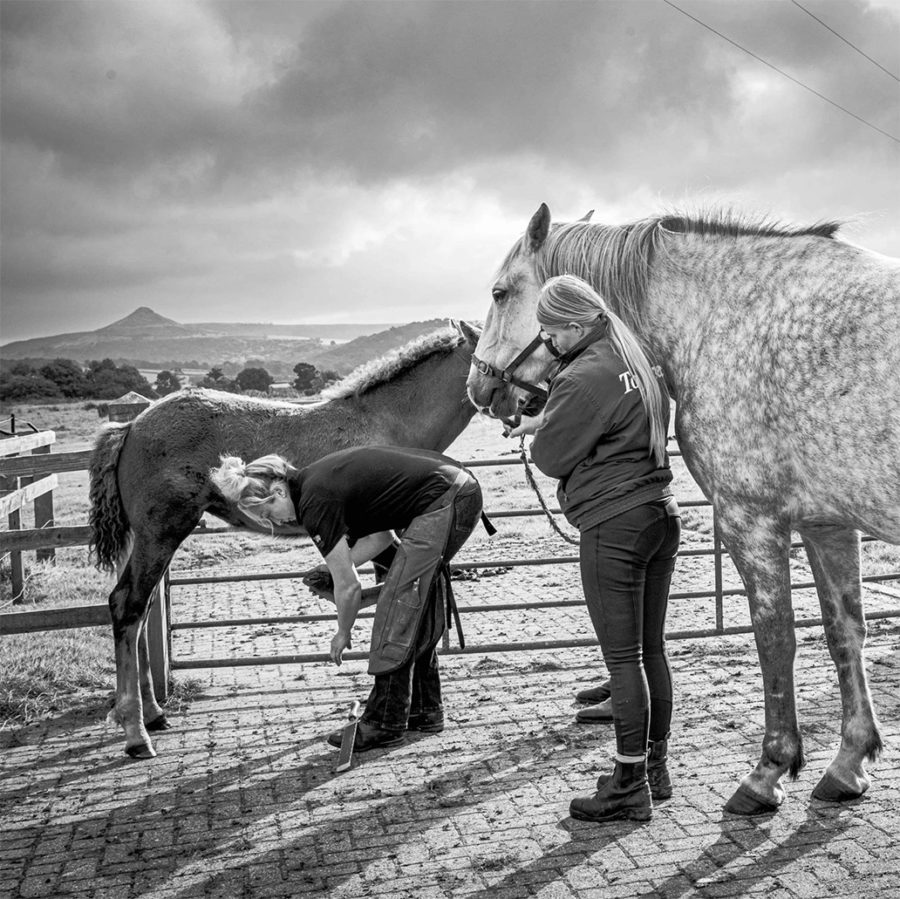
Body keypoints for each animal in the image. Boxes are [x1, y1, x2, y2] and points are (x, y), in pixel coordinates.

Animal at [468, 204, 896, 816]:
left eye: (500, 293)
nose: (478, 387)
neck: (730, 319)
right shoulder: (828, 525)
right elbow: (845, 633)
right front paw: (848, 762)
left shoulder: (750, 520)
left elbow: (775, 638)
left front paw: (768, 770)